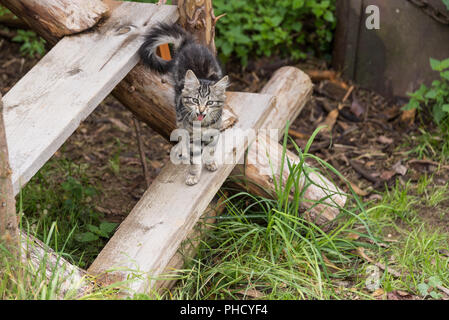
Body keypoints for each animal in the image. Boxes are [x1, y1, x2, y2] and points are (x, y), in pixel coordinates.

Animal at [139, 22, 228, 186]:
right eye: (195, 100)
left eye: (210, 102)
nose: (201, 111)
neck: (203, 125)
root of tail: (189, 44)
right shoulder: (193, 136)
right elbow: (195, 158)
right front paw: (194, 175)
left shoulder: (214, 132)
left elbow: (210, 150)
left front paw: (210, 162)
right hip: (179, 110)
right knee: (181, 131)